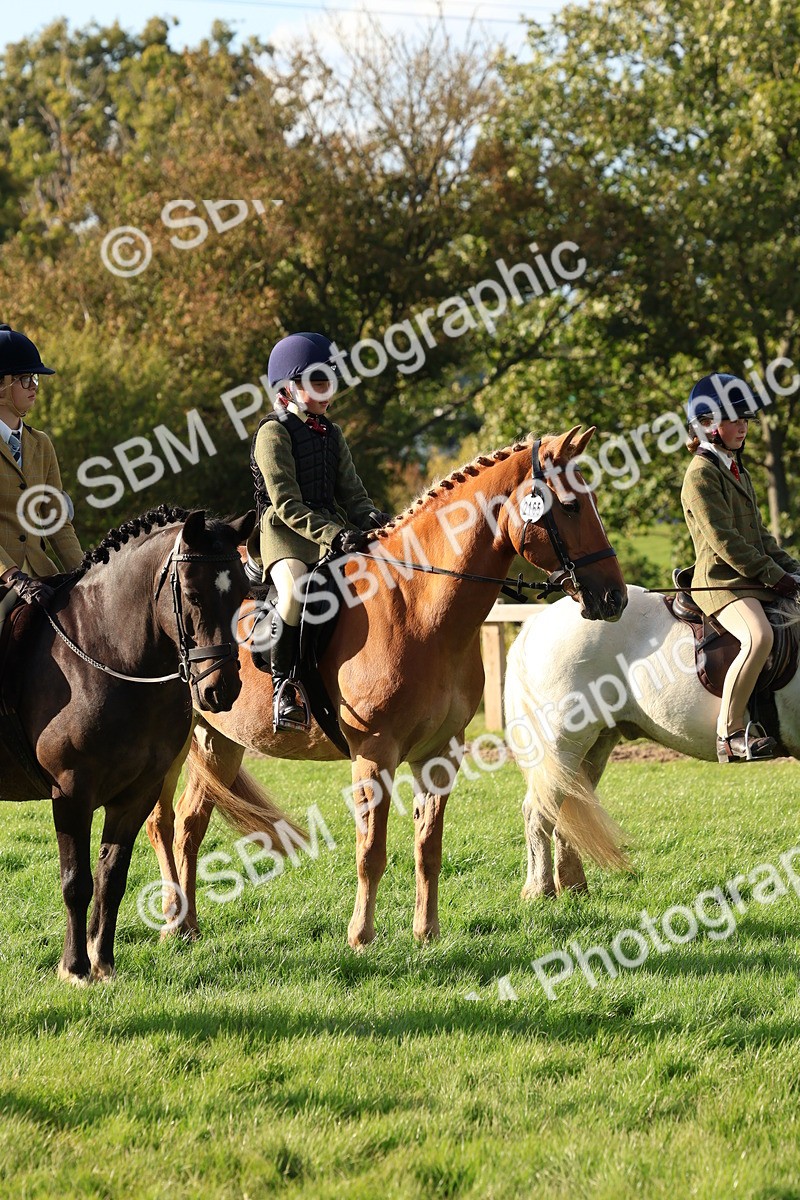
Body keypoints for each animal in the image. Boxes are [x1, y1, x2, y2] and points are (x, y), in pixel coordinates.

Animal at [0, 504, 256, 983]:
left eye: (243, 595)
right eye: (192, 595)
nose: (222, 690)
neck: (109, 655)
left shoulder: (138, 792)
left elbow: (111, 877)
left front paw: (102, 962)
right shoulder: (71, 792)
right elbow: (76, 881)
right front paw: (74, 968)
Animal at [145, 426, 628, 947]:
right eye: (572, 507)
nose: (614, 597)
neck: (419, 606)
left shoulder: (440, 752)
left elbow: (428, 848)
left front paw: (426, 933)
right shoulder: (375, 753)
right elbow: (371, 851)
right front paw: (361, 936)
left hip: (220, 739)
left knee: (190, 825)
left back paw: (188, 926)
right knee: (161, 823)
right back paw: (171, 922)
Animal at [502, 584, 800, 899]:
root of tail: (536, 623)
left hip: (596, 744)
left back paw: (574, 887)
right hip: (563, 745)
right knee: (538, 814)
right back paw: (539, 891)